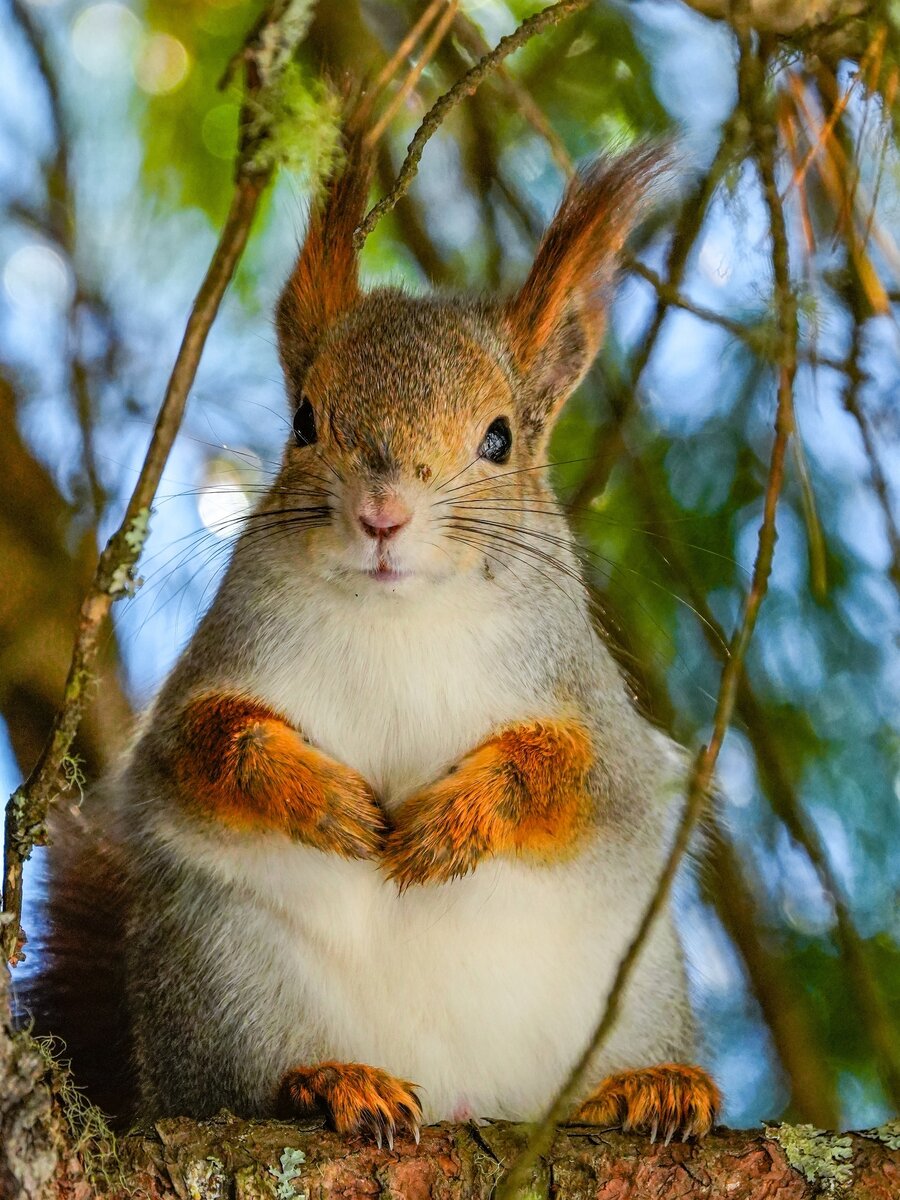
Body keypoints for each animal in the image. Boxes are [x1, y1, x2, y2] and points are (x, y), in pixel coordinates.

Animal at [31, 119, 724, 1142]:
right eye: (303, 420)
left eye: (500, 438)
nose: (383, 513)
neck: (403, 617)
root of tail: (466, 1092)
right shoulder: (217, 670)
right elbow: (202, 748)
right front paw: (315, 795)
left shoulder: (594, 714)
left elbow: (577, 777)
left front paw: (459, 819)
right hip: (223, 977)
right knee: (238, 1083)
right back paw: (329, 1081)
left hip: (636, 986)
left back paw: (645, 1088)